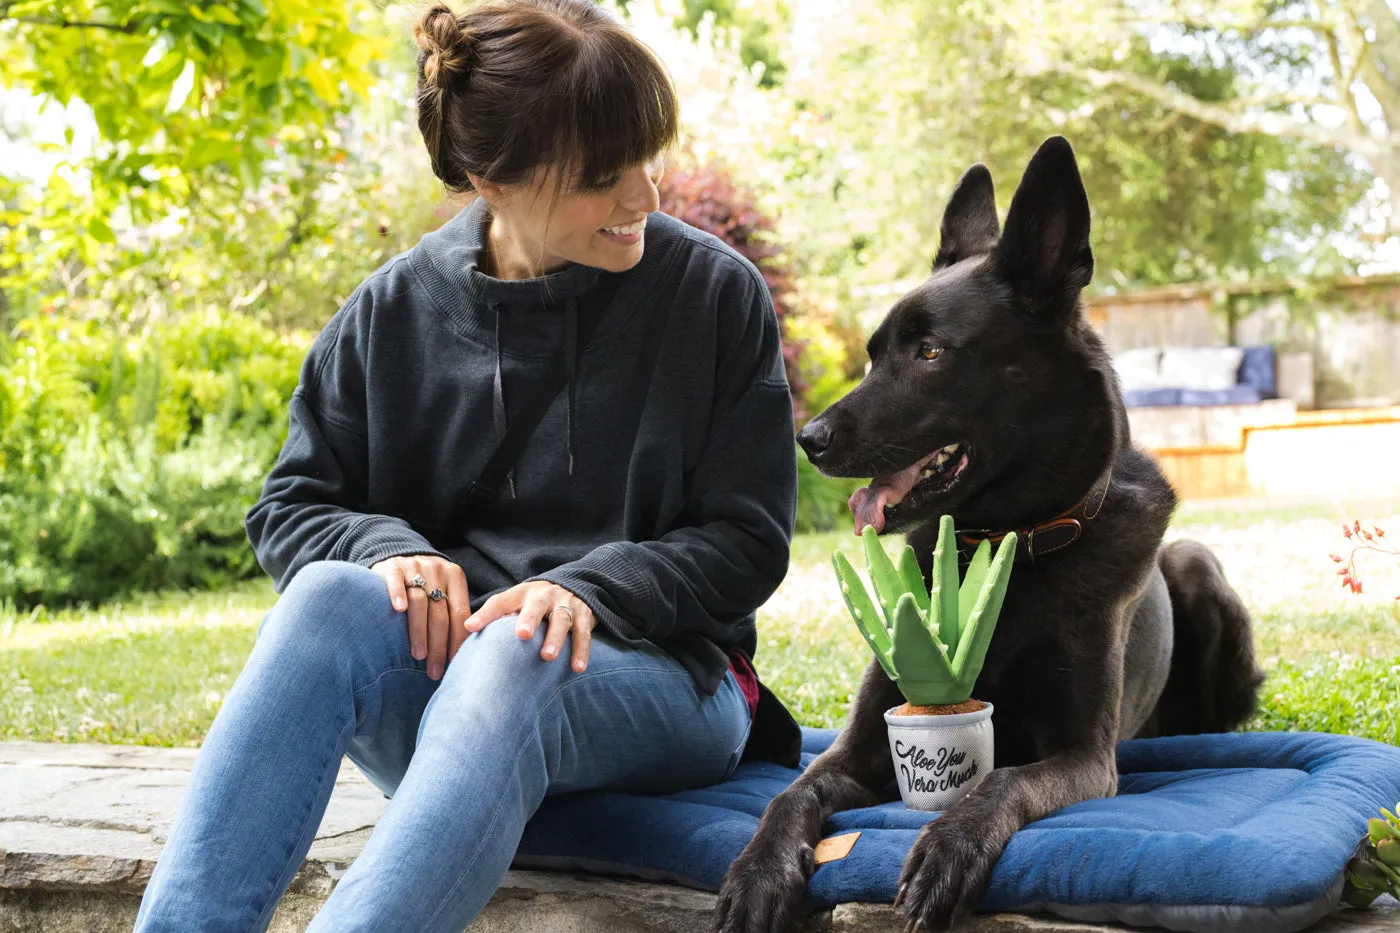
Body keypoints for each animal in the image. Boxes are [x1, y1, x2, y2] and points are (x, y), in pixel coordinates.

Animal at [716, 137, 1265, 930]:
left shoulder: (1085, 757)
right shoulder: (858, 746)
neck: (999, 548)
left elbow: (999, 780)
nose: (808, 439)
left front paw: (950, 849)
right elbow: (790, 793)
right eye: (874, 351)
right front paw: (758, 872)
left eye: (930, 352)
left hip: (1195, 566)